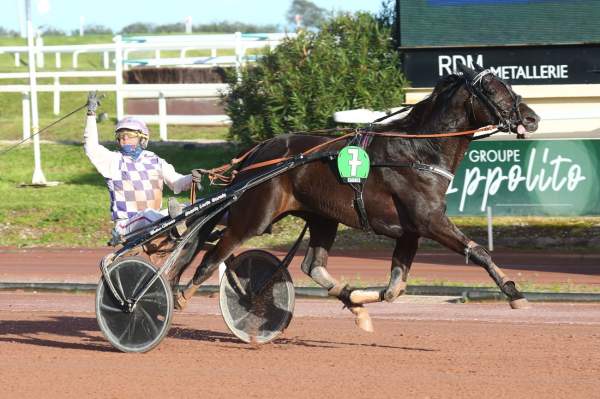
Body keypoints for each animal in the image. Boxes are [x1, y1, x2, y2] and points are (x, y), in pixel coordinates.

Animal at [171, 63, 540, 332]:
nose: (532, 117)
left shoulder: (410, 232)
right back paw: (179, 297)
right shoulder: (431, 221)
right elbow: (478, 251)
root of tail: (256, 154)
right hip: (254, 216)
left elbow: (395, 289)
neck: (420, 150)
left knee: (312, 265)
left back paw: (353, 304)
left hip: (322, 217)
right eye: (493, 90)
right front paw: (513, 292)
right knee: (212, 256)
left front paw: (359, 301)